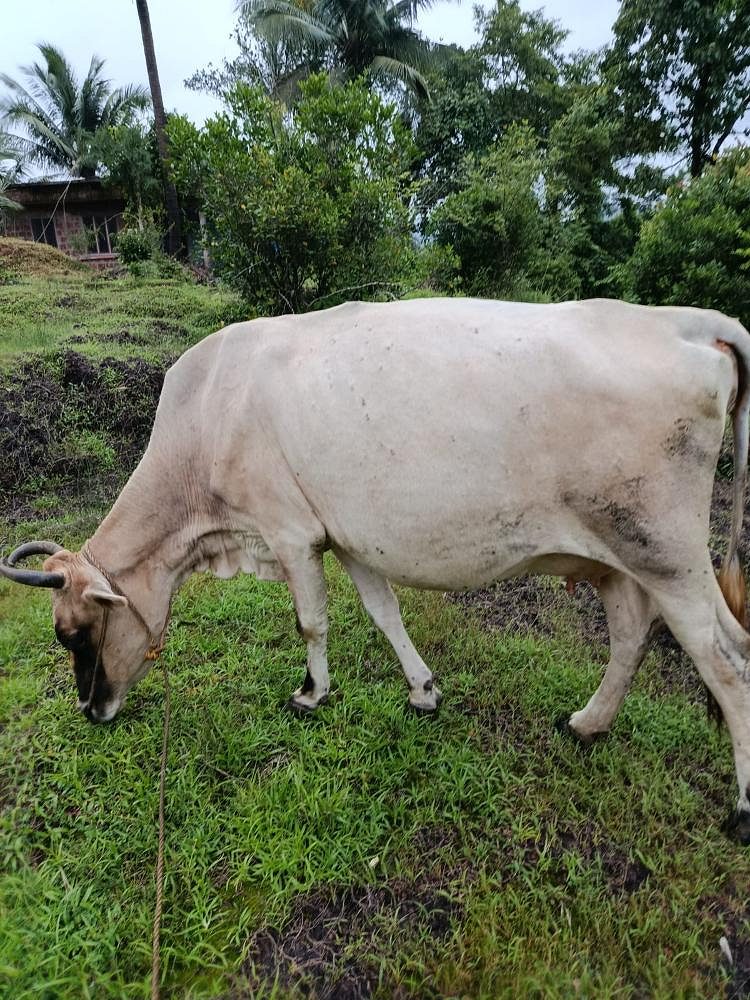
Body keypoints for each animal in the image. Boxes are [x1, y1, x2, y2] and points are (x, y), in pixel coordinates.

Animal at [2, 297, 750, 842]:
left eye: (74, 633)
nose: (92, 710)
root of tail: (683, 319)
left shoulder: (291, 532)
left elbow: (311, 621)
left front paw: (312, 693)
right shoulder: (350, 539)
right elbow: (383, 613)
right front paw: (423, 691)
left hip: (670, 555)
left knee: (727, 662)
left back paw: (740, 810)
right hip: (621, 559)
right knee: (630, 637)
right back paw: (588, 723)